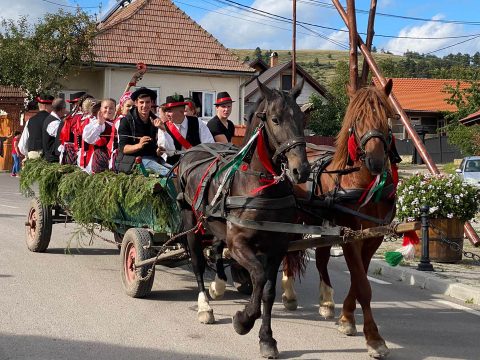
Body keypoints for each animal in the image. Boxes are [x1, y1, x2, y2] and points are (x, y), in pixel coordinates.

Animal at [176, 80, 312, 358]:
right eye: (275, 119)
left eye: (301, 118)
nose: (301, 170)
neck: (260, 185)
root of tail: (191, 151)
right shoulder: (239, 243)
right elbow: (258, 276)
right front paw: (244, 320)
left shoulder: (277, 246)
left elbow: (268, 290)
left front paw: (267, 339)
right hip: (191, 223)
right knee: (197, 262)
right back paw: (205, 305)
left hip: (215, 225)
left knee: (217, 248)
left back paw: (218, 284)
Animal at [284, 80, 400, 358]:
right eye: (357, 119)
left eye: (387, 117)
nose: (376, 161)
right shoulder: (350, 235)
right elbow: (363, 285)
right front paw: (374, 339)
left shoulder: (373, 237)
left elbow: (359, 280)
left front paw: (346, 318)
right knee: (286, 253)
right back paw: (289, 294)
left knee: (321, 257)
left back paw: (326, 300)